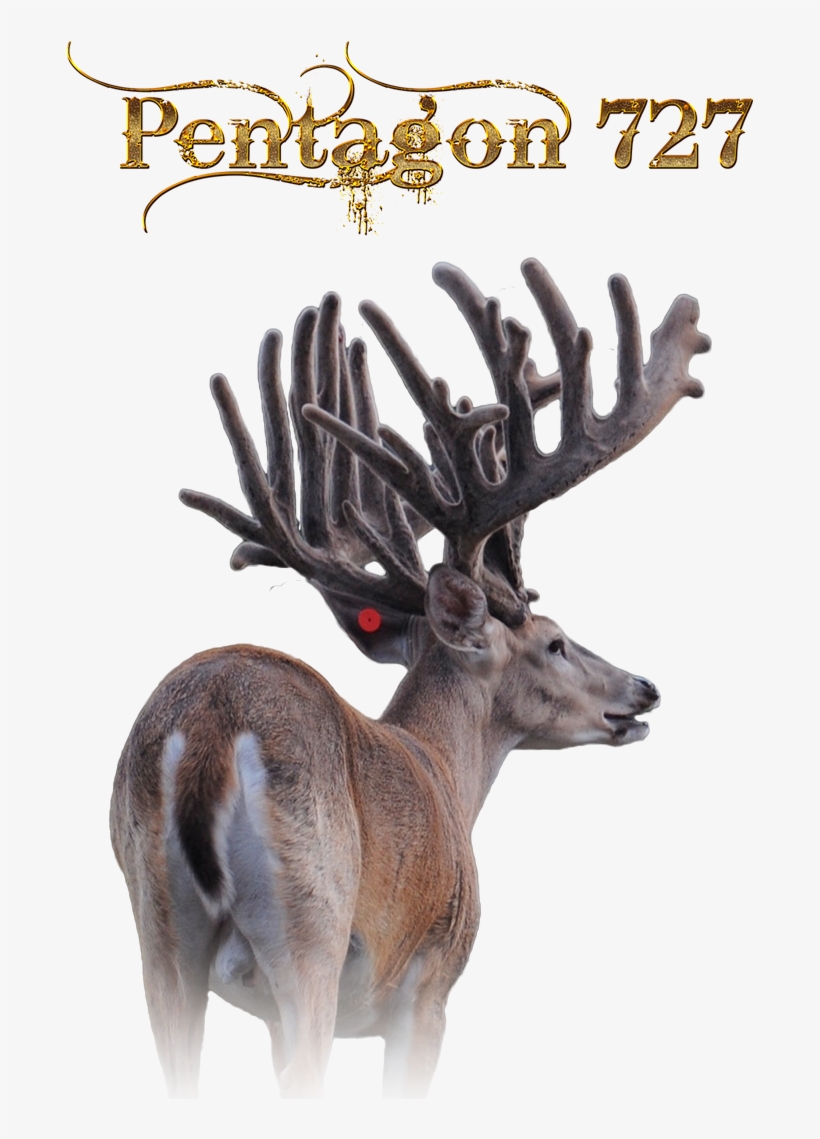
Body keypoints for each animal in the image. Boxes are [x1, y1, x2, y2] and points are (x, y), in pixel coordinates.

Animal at [111, 258, 709, 1099]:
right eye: (555, 642)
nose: (643, 687)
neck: (442, 768)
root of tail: (205, 728)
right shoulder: (429, 982)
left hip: (156, 926)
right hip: (312, 927)